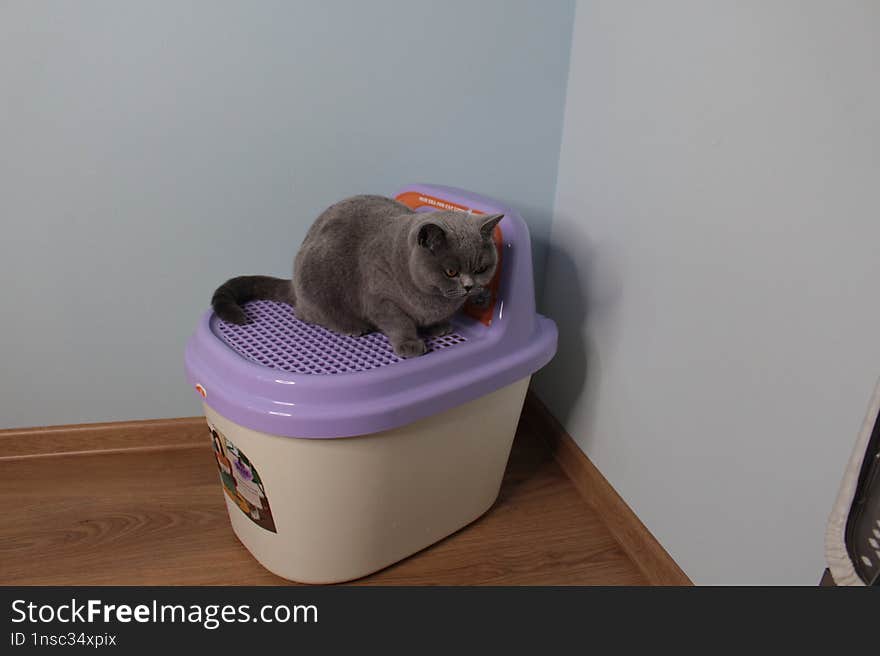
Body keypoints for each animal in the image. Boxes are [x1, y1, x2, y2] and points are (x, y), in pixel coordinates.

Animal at [211, 195, 502, 358]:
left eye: (481, 269)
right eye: (451, 271)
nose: (469, 287)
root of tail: (294, 284)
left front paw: (438, 327)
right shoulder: (380, 300)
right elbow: (399, 322)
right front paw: (410, 345)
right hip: (317, 285)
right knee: (307, 315)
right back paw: (353, 327)